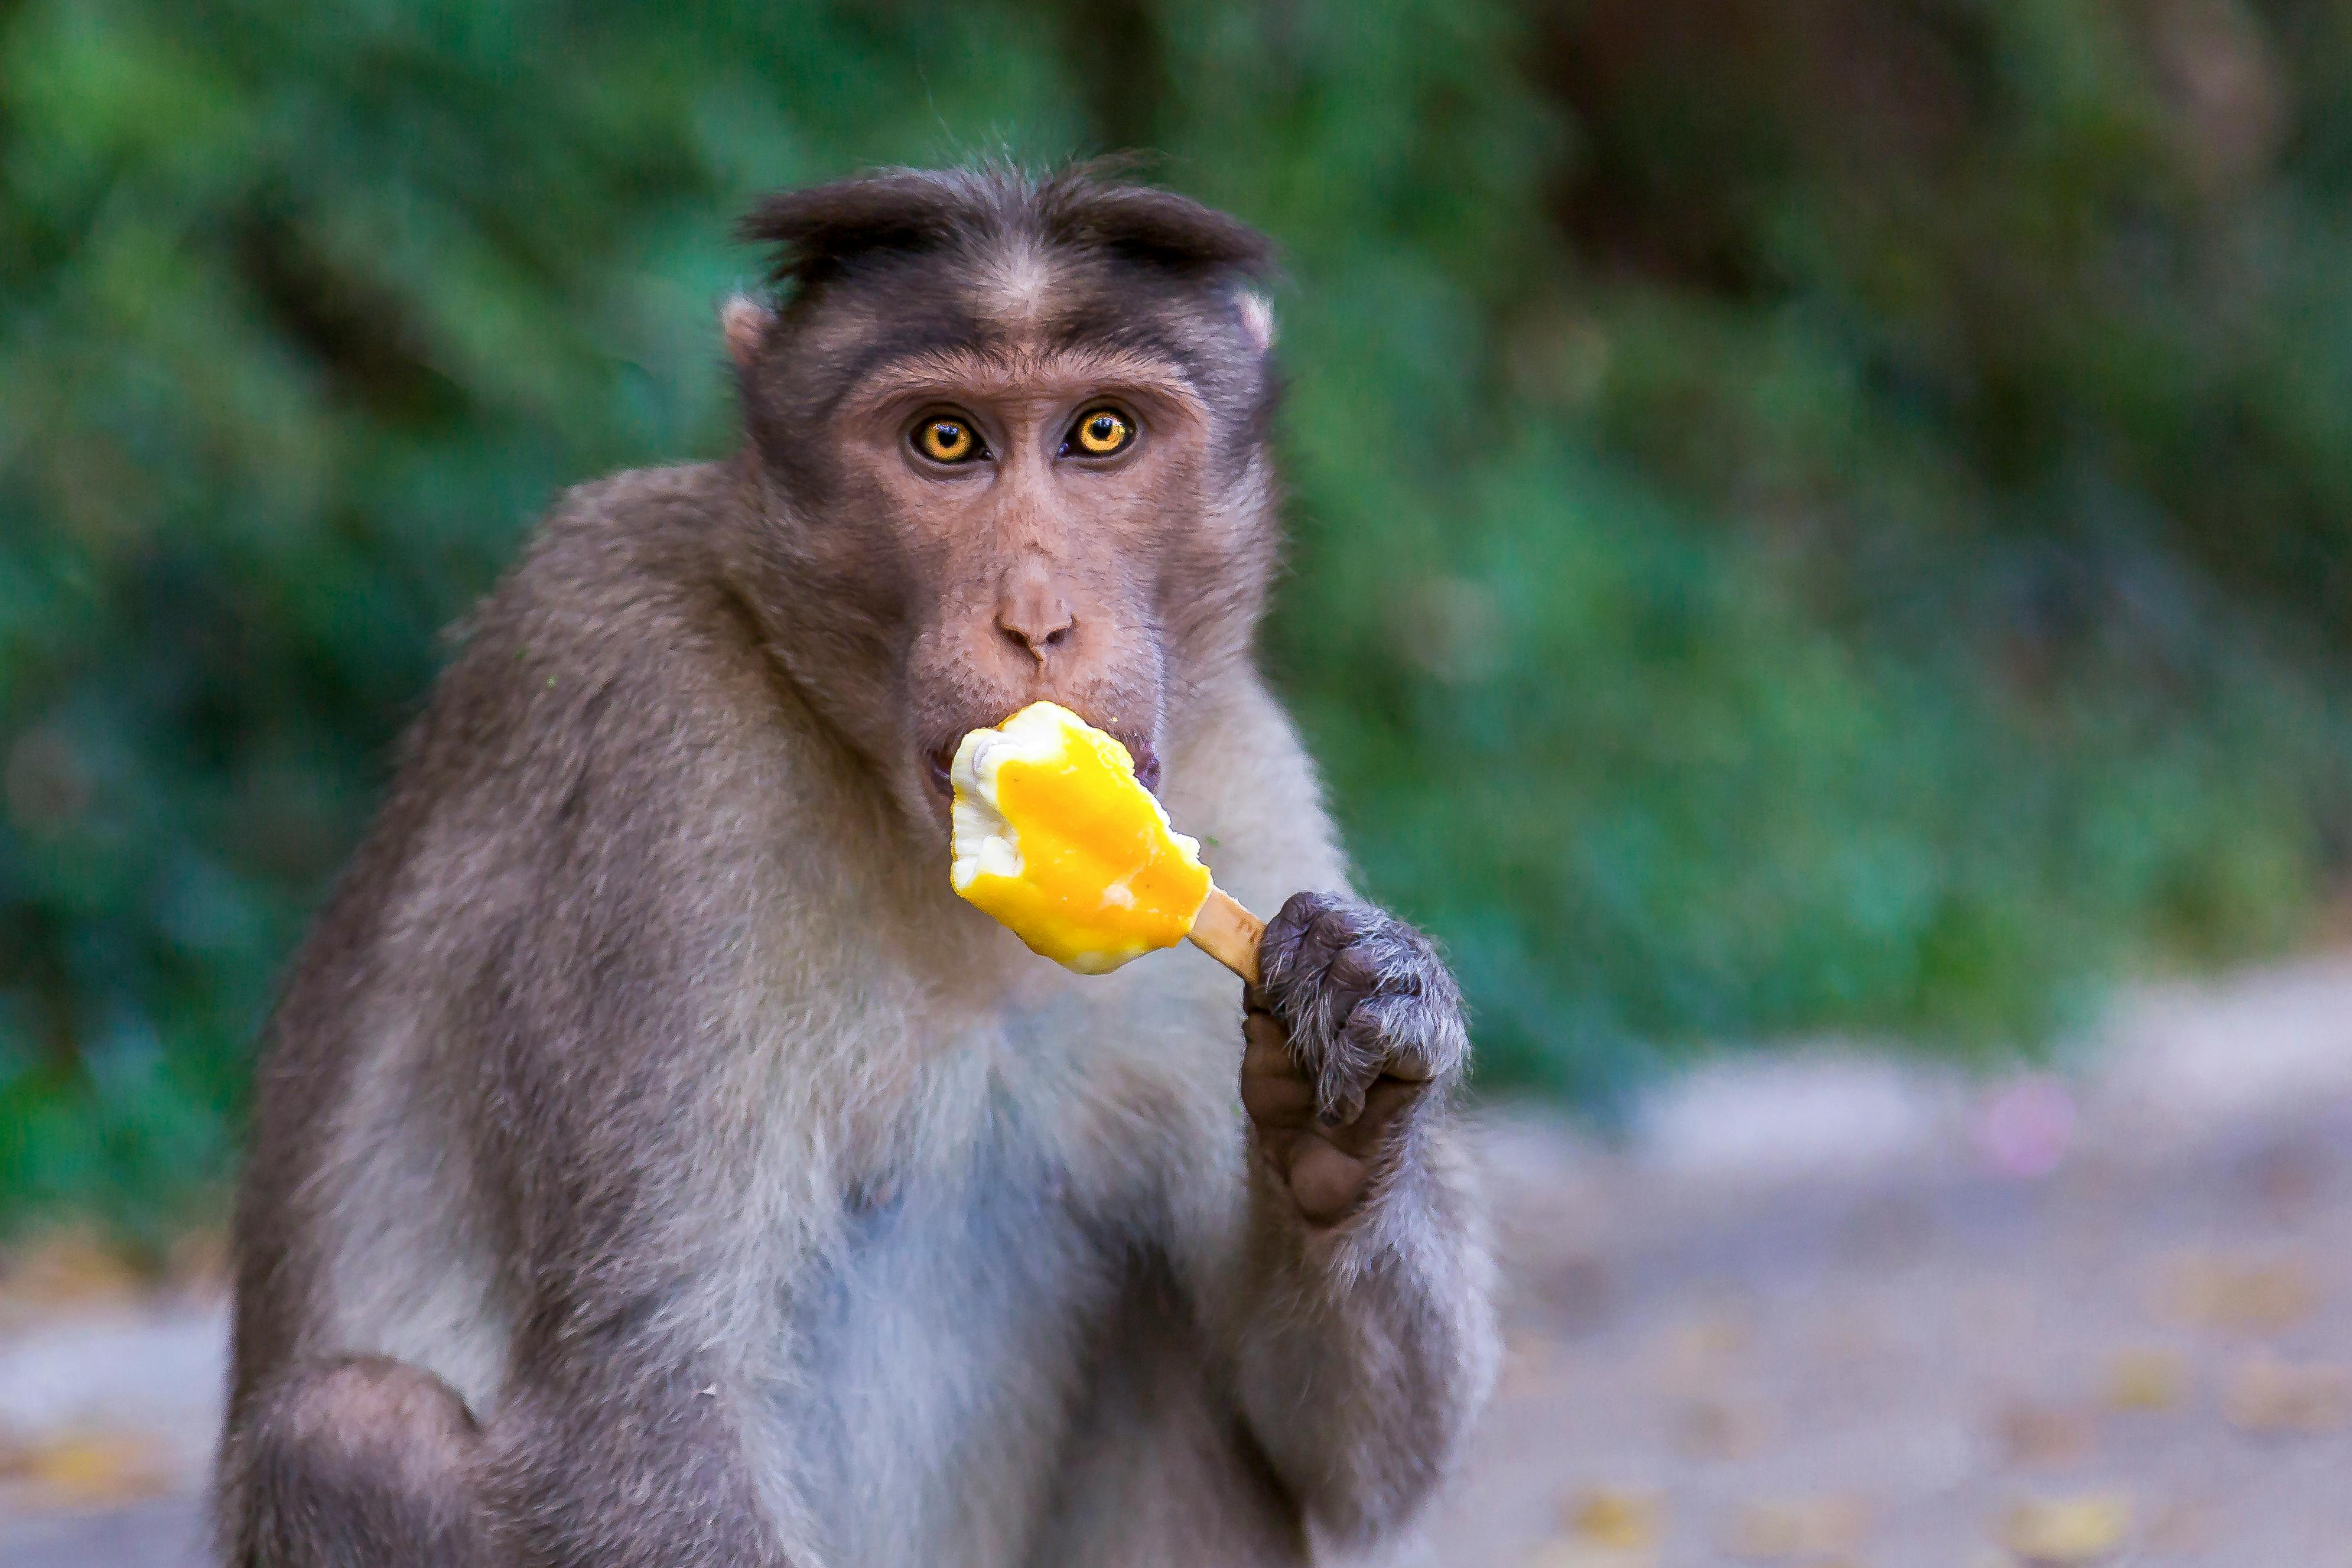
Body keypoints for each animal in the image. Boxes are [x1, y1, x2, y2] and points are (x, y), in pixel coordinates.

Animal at [225, 165, 1505, 1561]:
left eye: (1101, 434)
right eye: (944, 442)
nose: (1036, 618)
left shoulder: (1247, 779)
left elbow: (1355, 1455)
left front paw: (1353, 1067)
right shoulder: (652, 755)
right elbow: (649, 1385)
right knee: (351, 1426)